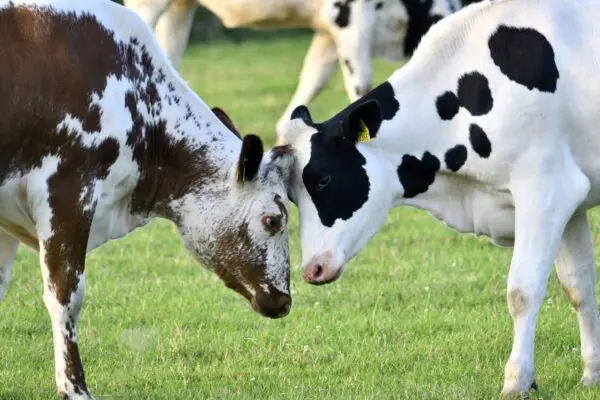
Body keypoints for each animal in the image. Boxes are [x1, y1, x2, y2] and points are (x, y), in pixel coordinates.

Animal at [280, 0, 600, 396]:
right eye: (292, 195)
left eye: (323, 179)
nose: (312, 269)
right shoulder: (571, 200)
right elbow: (580, 288)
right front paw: (592, 374)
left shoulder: (547, 188)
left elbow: (522, 290)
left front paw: (517, 380)